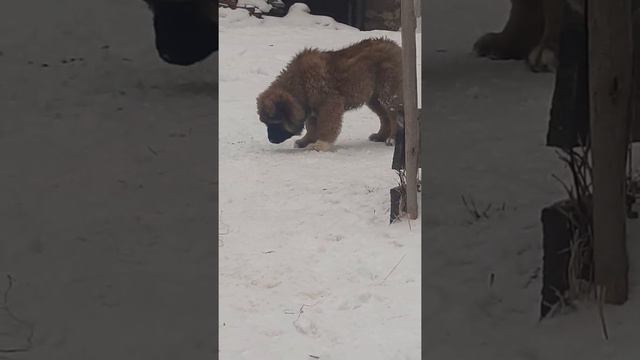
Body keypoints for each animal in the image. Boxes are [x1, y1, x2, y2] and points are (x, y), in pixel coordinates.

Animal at [256, 38, 402, 152]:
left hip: (387, 94)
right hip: (373, 99)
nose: (271, 139)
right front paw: (305, 141)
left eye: (276, 122)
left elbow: (327, 124)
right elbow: (311, 127)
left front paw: (321, 144)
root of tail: (396, 47)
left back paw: (392, 138)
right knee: (384, 117)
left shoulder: (329, 104)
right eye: (265, 123)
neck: (300, 83)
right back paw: (380, 136)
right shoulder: (312, 107)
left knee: (394, 117)